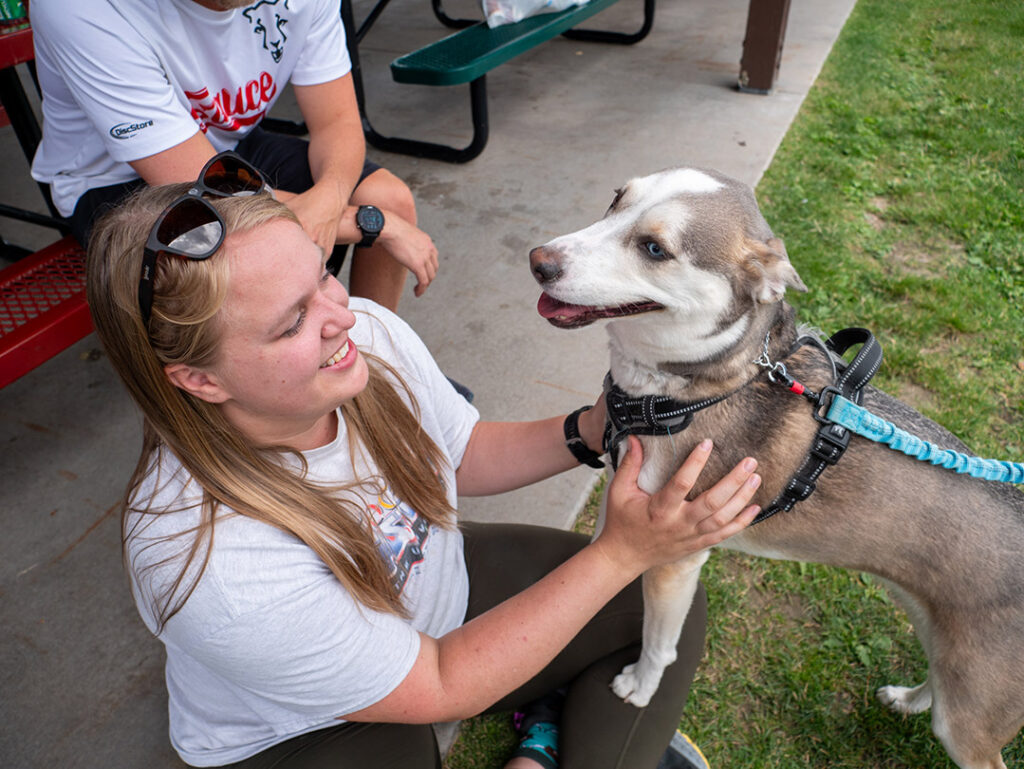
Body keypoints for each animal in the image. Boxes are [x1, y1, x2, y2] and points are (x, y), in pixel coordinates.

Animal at [528, 167, 1024, 769]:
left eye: (655, 249)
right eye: (616, 200)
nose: (538, 261)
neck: (691, 387)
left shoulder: (677, 554)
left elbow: (660, 645)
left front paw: (641, 689)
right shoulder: (622, 499)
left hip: (969, 719)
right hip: (940, 640)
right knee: (937, 684)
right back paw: (908, 700)